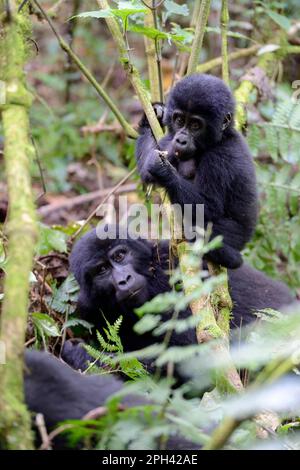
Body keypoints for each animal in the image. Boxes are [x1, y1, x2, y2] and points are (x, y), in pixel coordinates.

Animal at [136, 75, 258, 270]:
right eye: (179, 120)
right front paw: (155, 114)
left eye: (195, 125)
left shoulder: (220, 157)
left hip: (237, 236)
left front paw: (164, 171)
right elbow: (147, 170)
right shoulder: (171, 141)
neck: (220, 138)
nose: (181, 140)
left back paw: (228, 257)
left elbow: (208, 207)